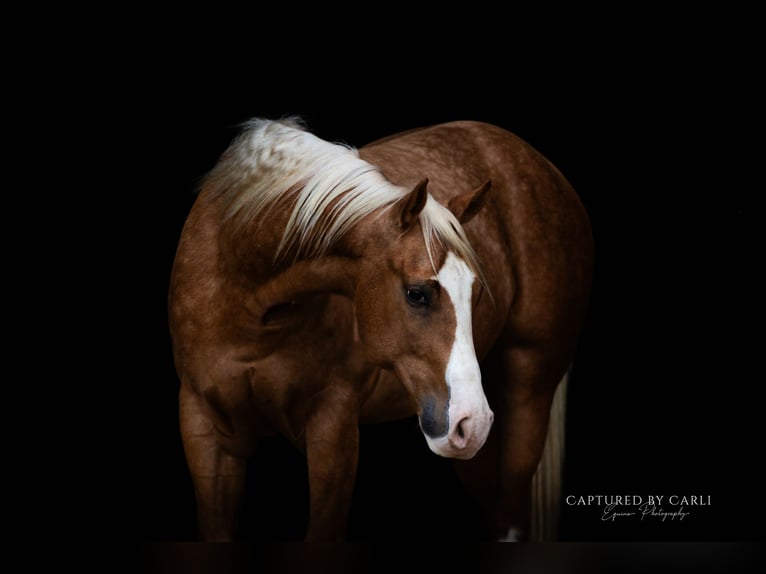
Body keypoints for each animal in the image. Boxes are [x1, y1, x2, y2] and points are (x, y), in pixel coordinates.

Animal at [168, 117, 593, 541]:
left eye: (475, 292)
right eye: (417, 293)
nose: (472, 421)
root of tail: (537, 164)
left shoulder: (333, 429)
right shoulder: (205, 430)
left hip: (528, 387)